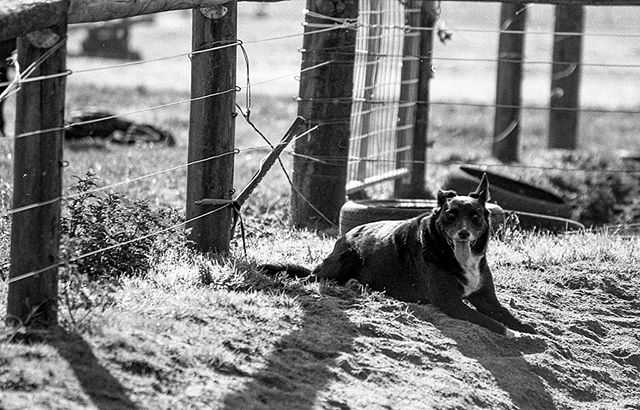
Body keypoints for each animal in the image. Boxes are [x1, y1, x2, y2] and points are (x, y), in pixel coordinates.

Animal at [258, 175, 536, 338]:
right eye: (451, 215)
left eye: (475, 216)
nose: (464, 234)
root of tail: (345, 236)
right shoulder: (450, 302)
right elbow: (484, 319)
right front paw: (508, 332)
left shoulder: (486, 297)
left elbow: (503, 313)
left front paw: (524, 327)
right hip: (345, 259)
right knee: (311, 280)